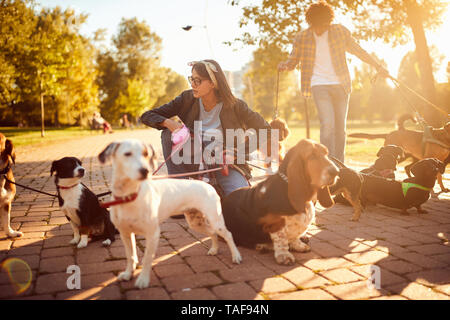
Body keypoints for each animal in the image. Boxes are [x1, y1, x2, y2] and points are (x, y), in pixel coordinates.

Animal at [97, 139, 241, 288]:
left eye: (145, 154)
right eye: (127, 154)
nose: (145, 171)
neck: (129, 196)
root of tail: (209, 185)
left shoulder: (153, 234)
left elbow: (147, 258)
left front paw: (143, 280)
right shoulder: (125, 234)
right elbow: (131, 256)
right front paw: (127, 274)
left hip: (215, 220)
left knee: (228, 234)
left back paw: (236, 256)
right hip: (196, 223)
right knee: (213, 233)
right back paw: (214, 249)